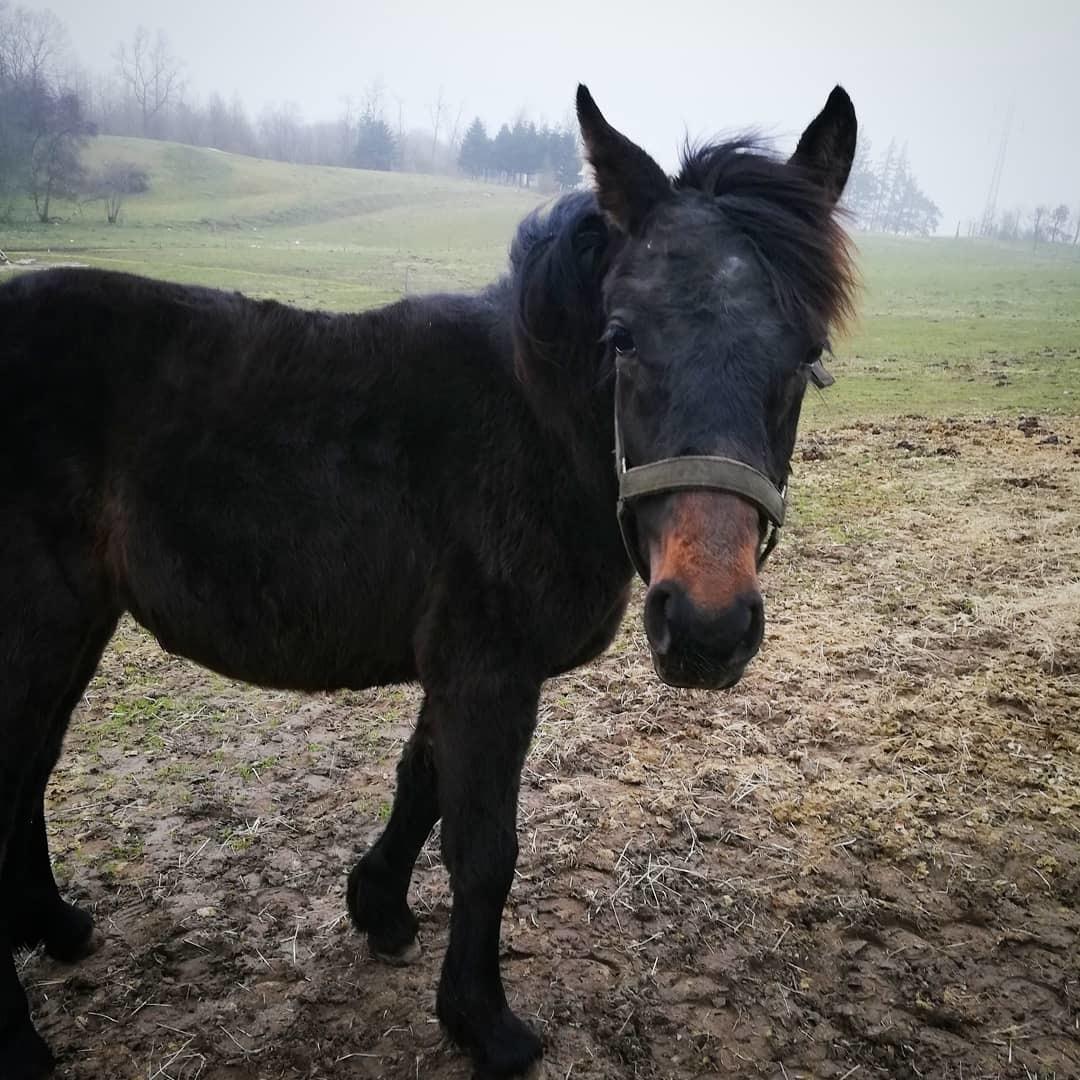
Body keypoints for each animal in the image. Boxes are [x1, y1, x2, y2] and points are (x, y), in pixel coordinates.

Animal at [2, 86, 859, 1080]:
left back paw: (54, 925)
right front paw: (483, 1022)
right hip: (38, 622)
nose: (708, 628)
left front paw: (378, 907)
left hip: (79, 621)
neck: (533, 428)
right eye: (622, 339)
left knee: (32, 769)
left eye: (808, 358)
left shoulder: (458, 664)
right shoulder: (487, 671)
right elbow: (482, 846)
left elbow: (420, 781)